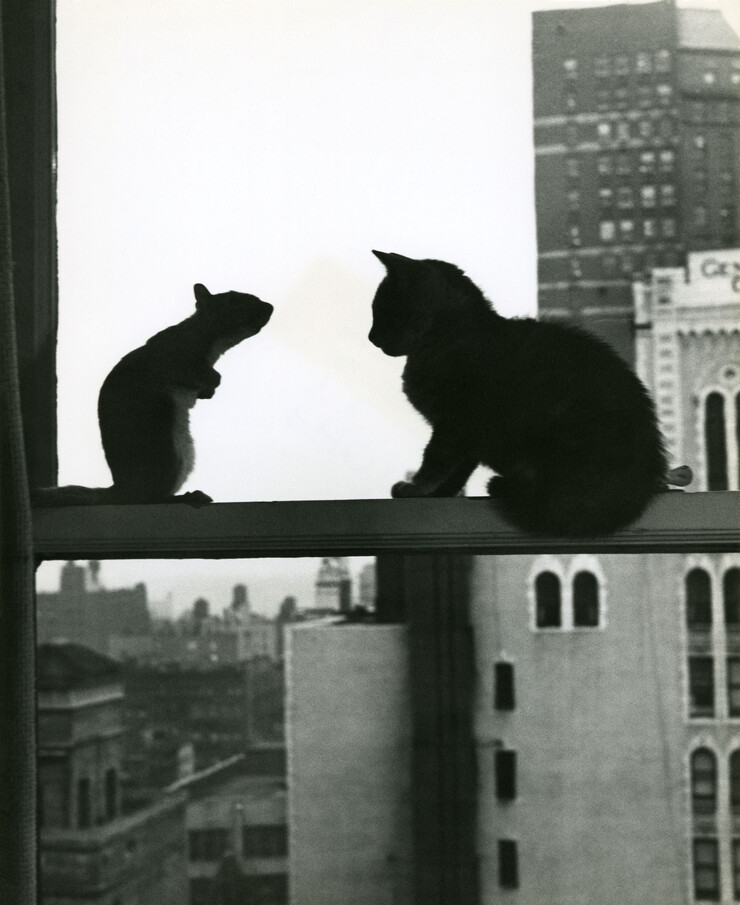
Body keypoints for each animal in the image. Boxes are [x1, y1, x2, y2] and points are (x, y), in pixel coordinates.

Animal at [33, 282, 274, 504]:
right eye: (234, 300)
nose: (269, 307)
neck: (210, 341)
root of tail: (120, 488)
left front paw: (208, 391)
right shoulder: (169, 357)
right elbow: (193, 372)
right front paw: (214, 379)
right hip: (168, 452)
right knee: (149, 498)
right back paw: (186, 497)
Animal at [368, 251, 692, 536]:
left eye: (380, 309)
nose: (370, 337)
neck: (448, 335)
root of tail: (643, 483)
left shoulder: (455, 424)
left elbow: (435, 461)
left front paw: (416, 488)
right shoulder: (468, 435)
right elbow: (459, 470)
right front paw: (442, 493)